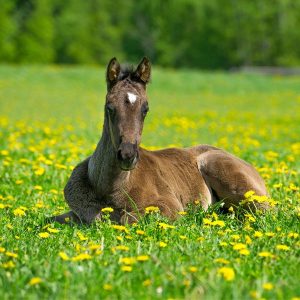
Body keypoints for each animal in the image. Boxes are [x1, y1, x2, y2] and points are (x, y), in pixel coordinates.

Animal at [51, 57, 268, 224]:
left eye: (145, 109)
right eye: (109, 107)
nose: (127, 155)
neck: (109, 190)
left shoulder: (169, 204)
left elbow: (127, 218)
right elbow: (54, 219)